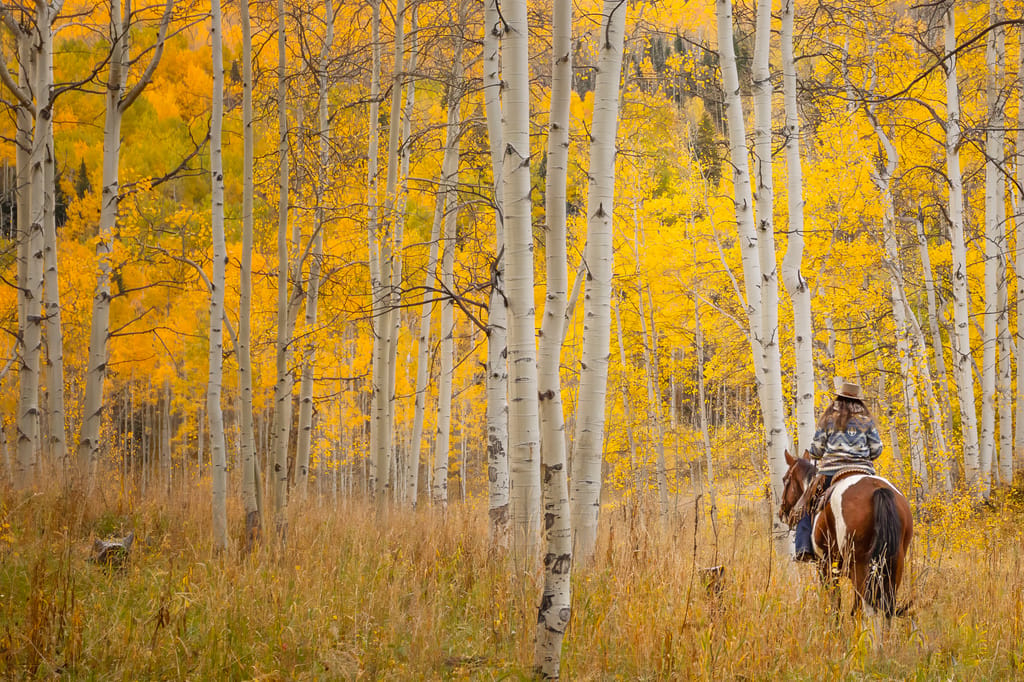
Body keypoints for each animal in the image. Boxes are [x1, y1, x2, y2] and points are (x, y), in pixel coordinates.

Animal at [779, 450, 913, 619]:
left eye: (785, 480)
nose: (782, 512)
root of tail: (878, 489)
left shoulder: (825, 568)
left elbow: (835, 605)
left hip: (859, 567)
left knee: (863, 609)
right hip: (894, 564)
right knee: (884, 607)